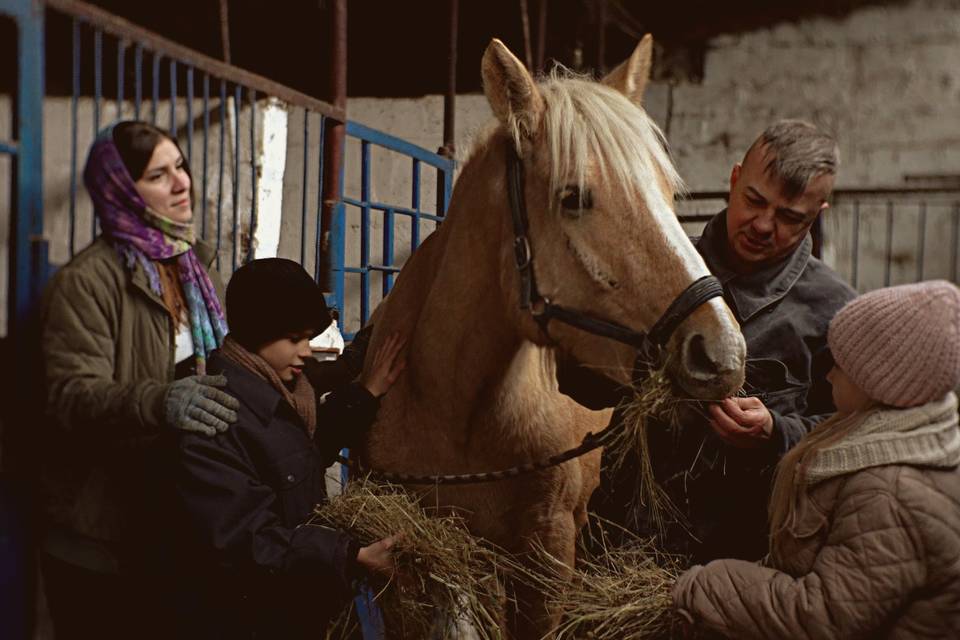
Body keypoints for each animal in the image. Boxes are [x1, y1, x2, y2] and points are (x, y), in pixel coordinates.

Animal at [364, 36, 748, 640]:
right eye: (574, 198)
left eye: (667, 193)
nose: (722, 351)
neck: (455, 408)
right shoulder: (412, 562)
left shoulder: (548, 553)